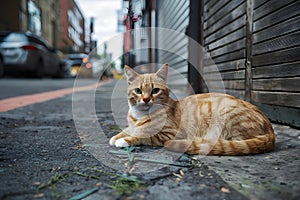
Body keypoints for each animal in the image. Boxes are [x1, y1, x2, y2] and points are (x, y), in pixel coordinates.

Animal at [109, 63, 276, 155]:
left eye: (155, 90)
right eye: (138, 91)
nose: (145, 99)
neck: (139, 116)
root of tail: (271, 130)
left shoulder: (169, 134)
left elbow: (143, 135)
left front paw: (125, 140)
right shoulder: (132, 125)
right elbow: (128, 129)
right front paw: (117, 136)